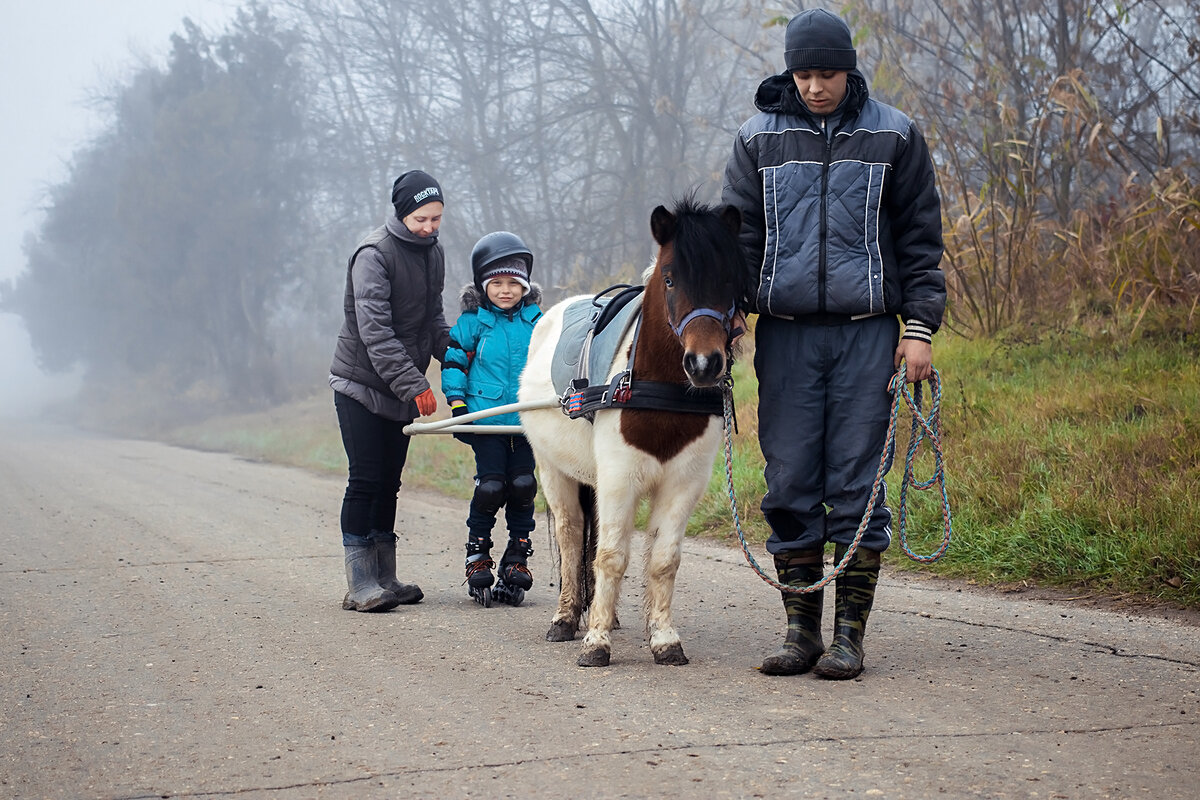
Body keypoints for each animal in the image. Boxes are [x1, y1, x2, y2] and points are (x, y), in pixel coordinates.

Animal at [520, 200, 744, 671]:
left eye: (730, 279)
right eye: (670, 278)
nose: (704, 364)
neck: (658, 389)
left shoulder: (682, 485)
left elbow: (663, 560)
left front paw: (663, 639)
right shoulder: (619, 480)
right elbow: (610, 556)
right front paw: (595, 642)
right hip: (553, 469)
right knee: (571, 535)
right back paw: (566, 618)